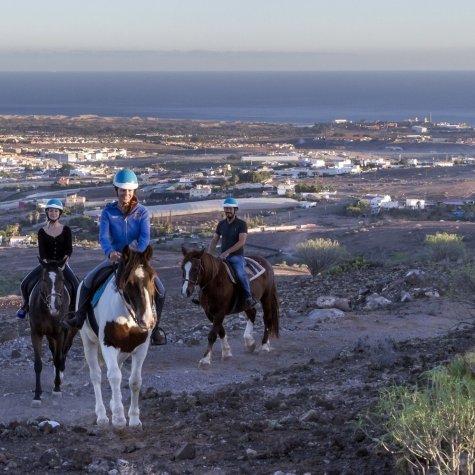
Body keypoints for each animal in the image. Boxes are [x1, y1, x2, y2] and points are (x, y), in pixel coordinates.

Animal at [28, 258, 77, 408]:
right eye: (44, 279)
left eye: (62, 279)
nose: (55, 307)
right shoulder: (36, 334)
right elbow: (38, 364)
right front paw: (37, 396)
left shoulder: (60, 333)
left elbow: (57, 358)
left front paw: (57, 389)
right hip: (50, 336)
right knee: (54, 350)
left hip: (70, 331)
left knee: (63, 351)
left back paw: (60, 375)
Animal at [79, 247, 156, 430]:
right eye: (129, 282)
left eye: (152, 278)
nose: (148, 321)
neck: (128, 315)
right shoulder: (108, 344)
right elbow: (113, 376)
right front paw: (119, 418)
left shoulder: (141, 348)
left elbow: (135, 381)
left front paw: (134, 419)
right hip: (89, 343)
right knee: (96, 376)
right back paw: (102, 416)